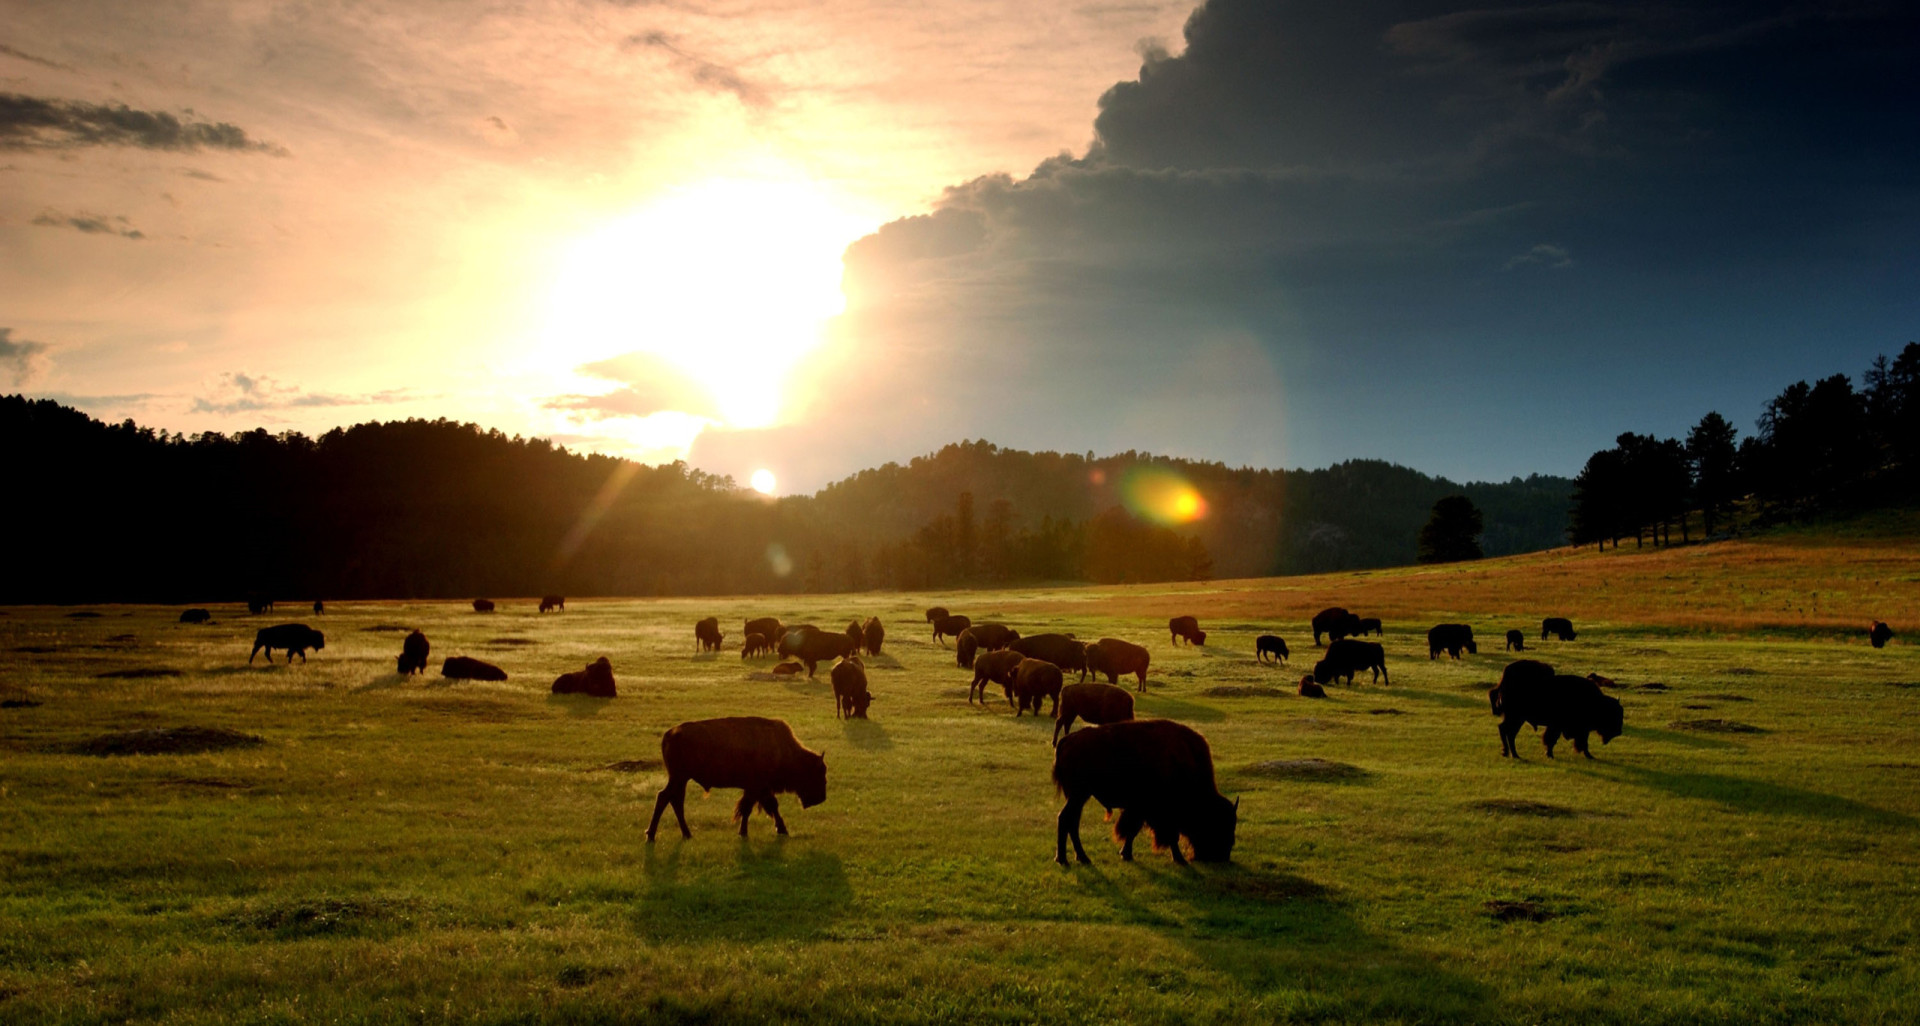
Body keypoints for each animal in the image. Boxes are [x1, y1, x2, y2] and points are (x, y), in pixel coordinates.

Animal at [645, 714, 825, 845]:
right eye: (818, 773)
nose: (821, 798)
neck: (782, 748)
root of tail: (669, 733)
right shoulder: (757, 787)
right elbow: (753, 808)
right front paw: (745, 833)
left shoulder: (758, 789)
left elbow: (763, 807)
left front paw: (779, 830)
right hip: (679, 778)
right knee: (664, 798)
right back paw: (652, 836)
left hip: (681, 780)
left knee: (674, 801)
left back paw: (685, 834)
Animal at [1052, 722, 1244, 868]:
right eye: (1218, 824)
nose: (1222, 856)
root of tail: (1067, 740)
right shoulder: (1160, 813)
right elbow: (1169, 836)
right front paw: (1179, 859)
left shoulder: (1141, 810)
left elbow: (1133, 831)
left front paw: (1126, 854)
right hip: (1079, 795)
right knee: (1065, 819)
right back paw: (1065, 859)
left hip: (1079, 797)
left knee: (1072, 822)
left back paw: (1080, 858)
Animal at [1482, 664, 1620, 760]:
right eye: (1612, 715)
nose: (1618, 732)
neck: (1596, 702)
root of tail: (1504, 683)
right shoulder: (1560, 727)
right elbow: (1552, 739)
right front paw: (1549, 754)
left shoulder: (1579, 730)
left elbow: (1582, 743)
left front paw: (1589, 755)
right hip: (1516, 718)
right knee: (1507, 731)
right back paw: (1512, 754)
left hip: (1516, 719)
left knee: (1506, 731)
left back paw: (1511, 754)